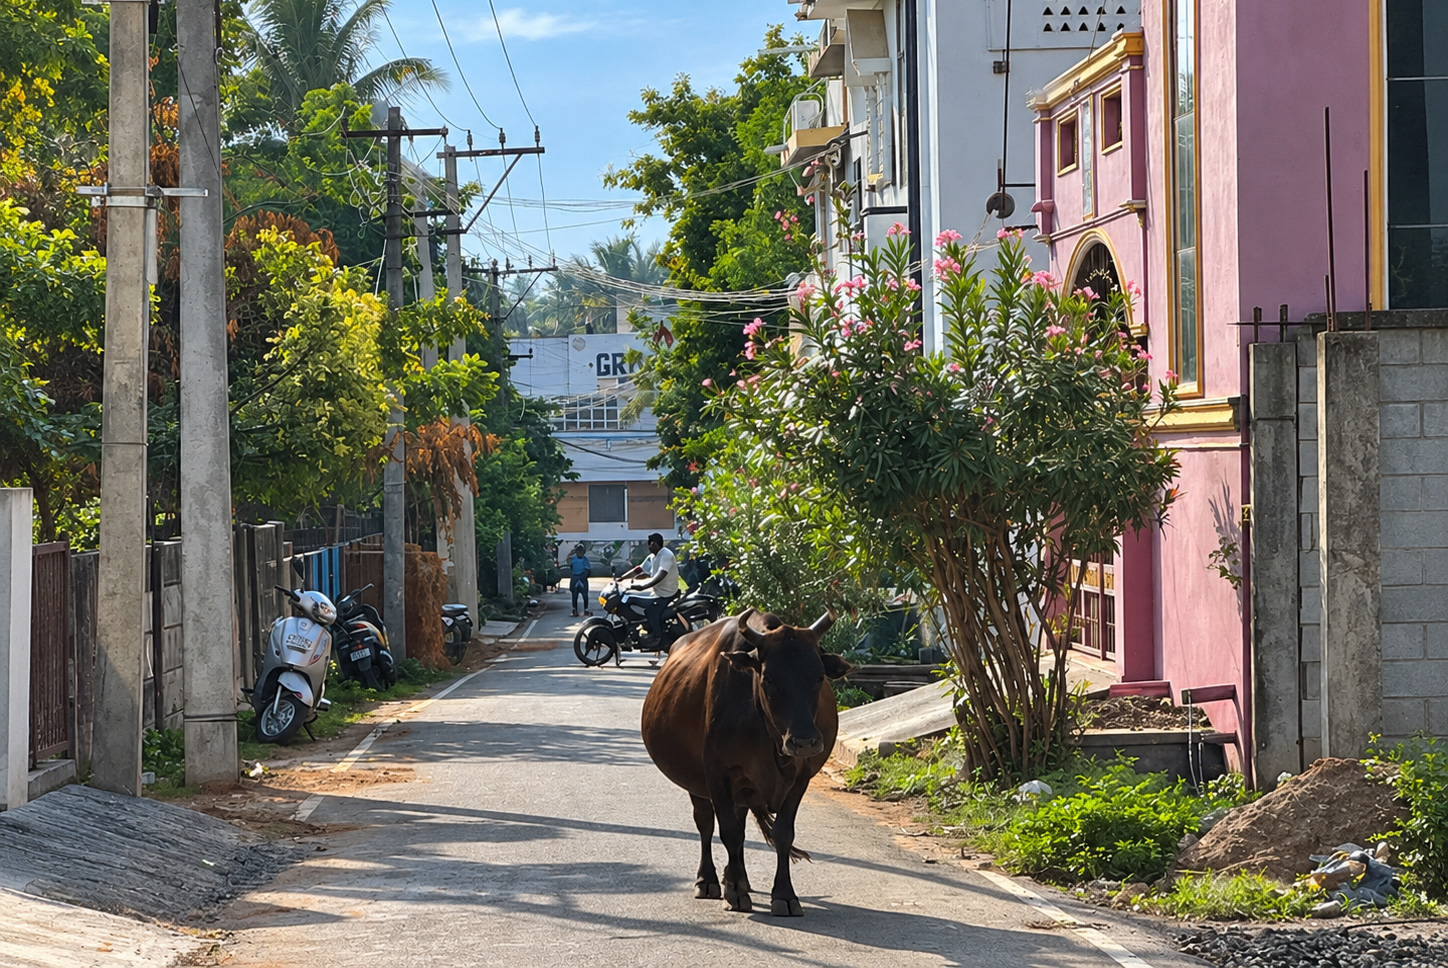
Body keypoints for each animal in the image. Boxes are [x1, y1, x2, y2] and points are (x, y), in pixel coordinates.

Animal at [640, 608, 853, 917]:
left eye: (817, 677)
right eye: (769, 678)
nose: (804, 742)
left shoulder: (801, 778)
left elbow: (782, 834)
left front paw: (784, 895)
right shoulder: (716, 774)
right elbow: (728, 831)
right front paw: (735, 892)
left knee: (739, 823)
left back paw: (738, 878)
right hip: (698, 782)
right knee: (706, 823)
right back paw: (711, 881)